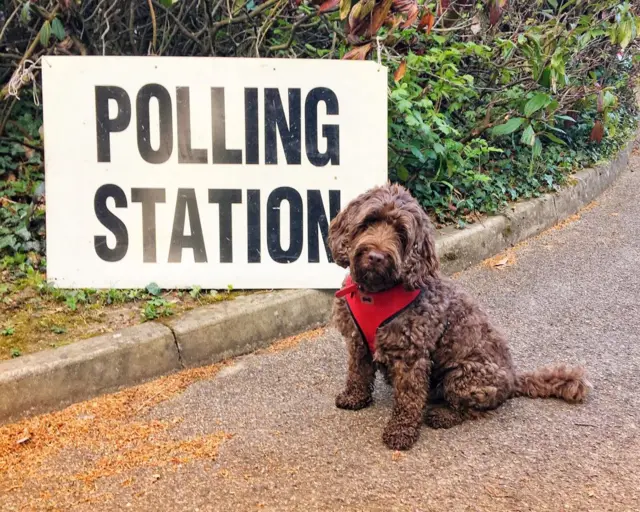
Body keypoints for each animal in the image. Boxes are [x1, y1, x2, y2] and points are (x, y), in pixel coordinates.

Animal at [328, 182, 592, 450]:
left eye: (402, 233)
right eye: (369, 221)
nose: (376, 257)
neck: (375, 294)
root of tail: (513, 378)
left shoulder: (412, 355)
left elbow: (409, 397)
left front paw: (401, 430)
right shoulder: (357, 341)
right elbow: (358, 373)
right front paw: (354, 397)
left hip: (464, 376)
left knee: (470, 409)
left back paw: (443, 415)